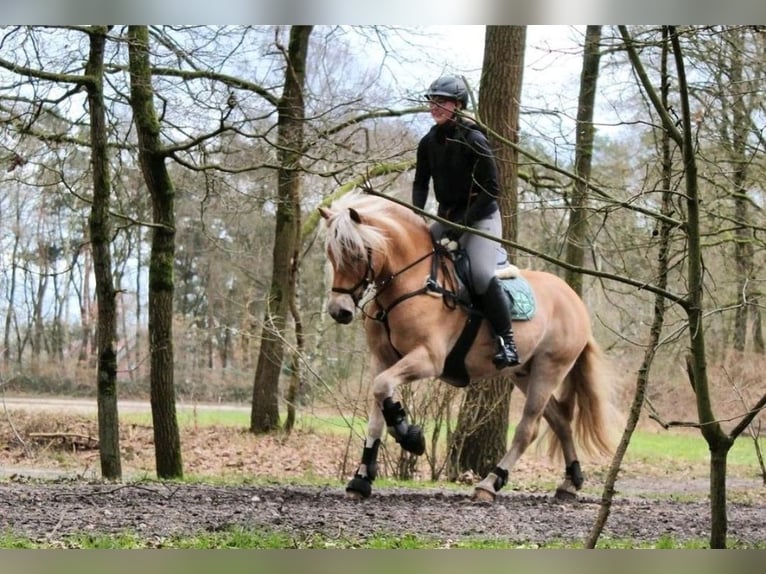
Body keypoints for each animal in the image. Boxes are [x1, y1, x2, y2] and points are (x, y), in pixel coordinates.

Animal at [318, 191, 616, 502]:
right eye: (331, 254)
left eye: (355, 253)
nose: (339, 311)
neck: (410, 283)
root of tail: (575, 301)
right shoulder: (383, 359)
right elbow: (377, 408)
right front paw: (361, 478)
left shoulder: (428, 359)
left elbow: (382, 388)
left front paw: (409, 436)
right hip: (524, 372)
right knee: (560, 420)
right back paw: (570, 481)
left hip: (550, 368)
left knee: (528, 429)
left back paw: (489, 483)